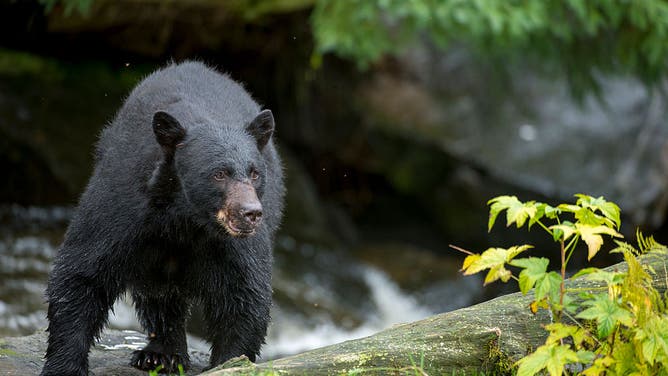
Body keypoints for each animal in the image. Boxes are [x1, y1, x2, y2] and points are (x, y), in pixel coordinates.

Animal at [39, 60, 284, 374]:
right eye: (219, 173)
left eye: (254, 173)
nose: (250, 213)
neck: (186, 219)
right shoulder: (124, 207)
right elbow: (83, 271)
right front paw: (64, 365)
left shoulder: (232, 245)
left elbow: (244, 293)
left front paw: (229, 362)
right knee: (158, 294)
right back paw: (161, 353)